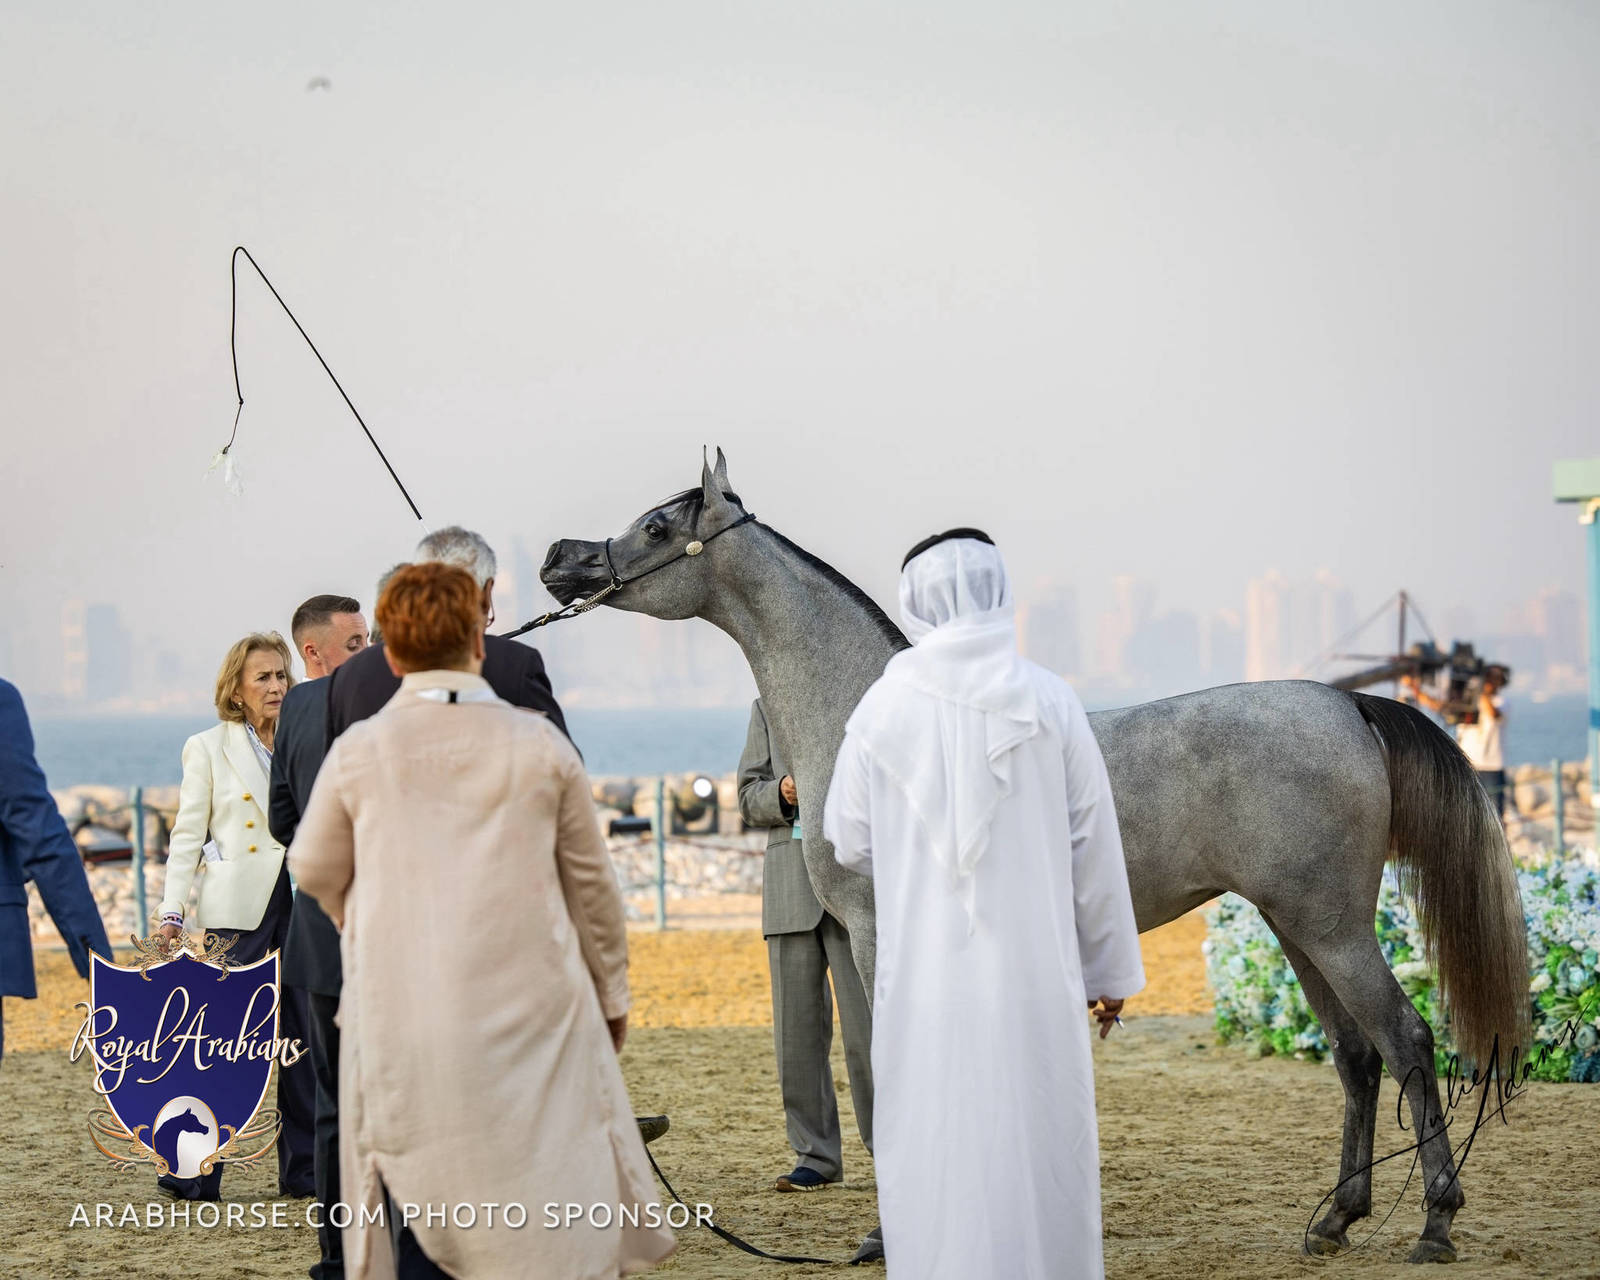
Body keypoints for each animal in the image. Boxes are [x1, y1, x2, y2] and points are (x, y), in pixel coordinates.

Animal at [540, 448, 1529, 1263]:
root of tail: (1344, 704)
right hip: (1296, 926)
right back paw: (1335, 1220)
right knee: (1358, 1058)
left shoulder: (876, 930)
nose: (559, 554)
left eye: (657, 525)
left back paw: (1435, 1224)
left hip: (1330, 927)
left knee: (1407, 1041)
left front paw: (891, 1232)